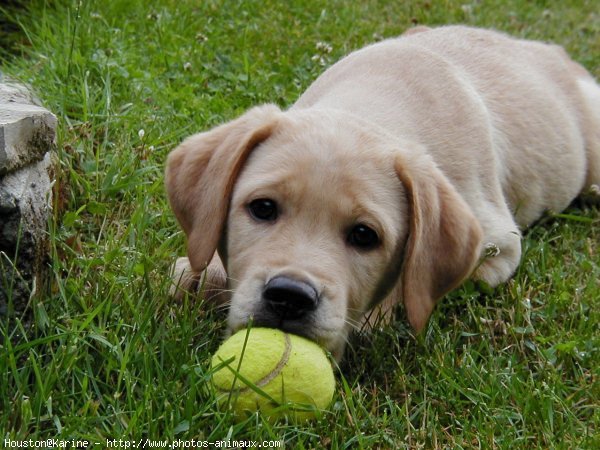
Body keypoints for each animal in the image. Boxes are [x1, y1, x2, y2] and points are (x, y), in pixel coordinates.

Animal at [165, 25, 600, 362]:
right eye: (263, 208)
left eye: (364, 235)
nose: (290, 297)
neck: (374, 102)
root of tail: (556, 53)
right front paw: (202, 273)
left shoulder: (500, 246)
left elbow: (410, 278)